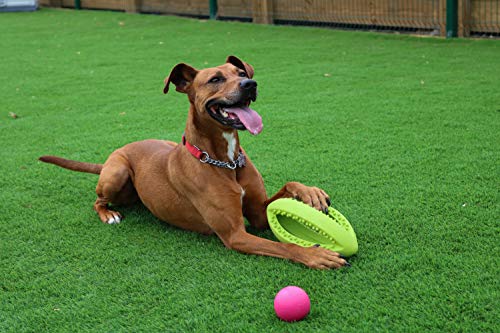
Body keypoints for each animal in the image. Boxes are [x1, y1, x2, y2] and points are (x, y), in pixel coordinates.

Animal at [39, 55, 346, 268]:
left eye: (241, 73)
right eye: (215, 80)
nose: (251, 84)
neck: (225, 161)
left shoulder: (259, 214)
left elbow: (287, 186)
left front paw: (310, 193)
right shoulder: (235, 234)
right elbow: (284, 247)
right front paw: (315, 255)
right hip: (117, 172)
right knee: (97, 200)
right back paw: (108, 214)